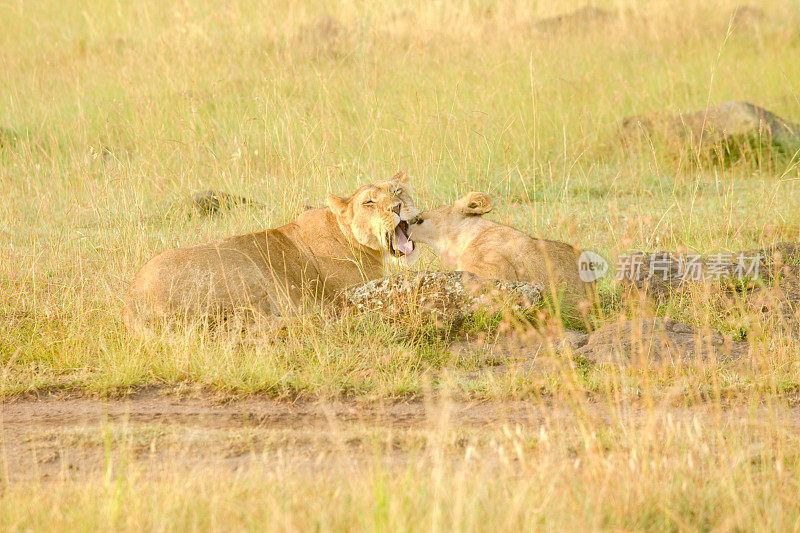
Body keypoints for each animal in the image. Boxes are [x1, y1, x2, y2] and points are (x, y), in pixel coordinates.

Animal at [123, 175, 418, 332]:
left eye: (397, 191)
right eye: (368, 202)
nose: (396, 207)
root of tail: (132, 300)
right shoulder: (359, 286)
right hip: (244, 268)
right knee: (259, 322)